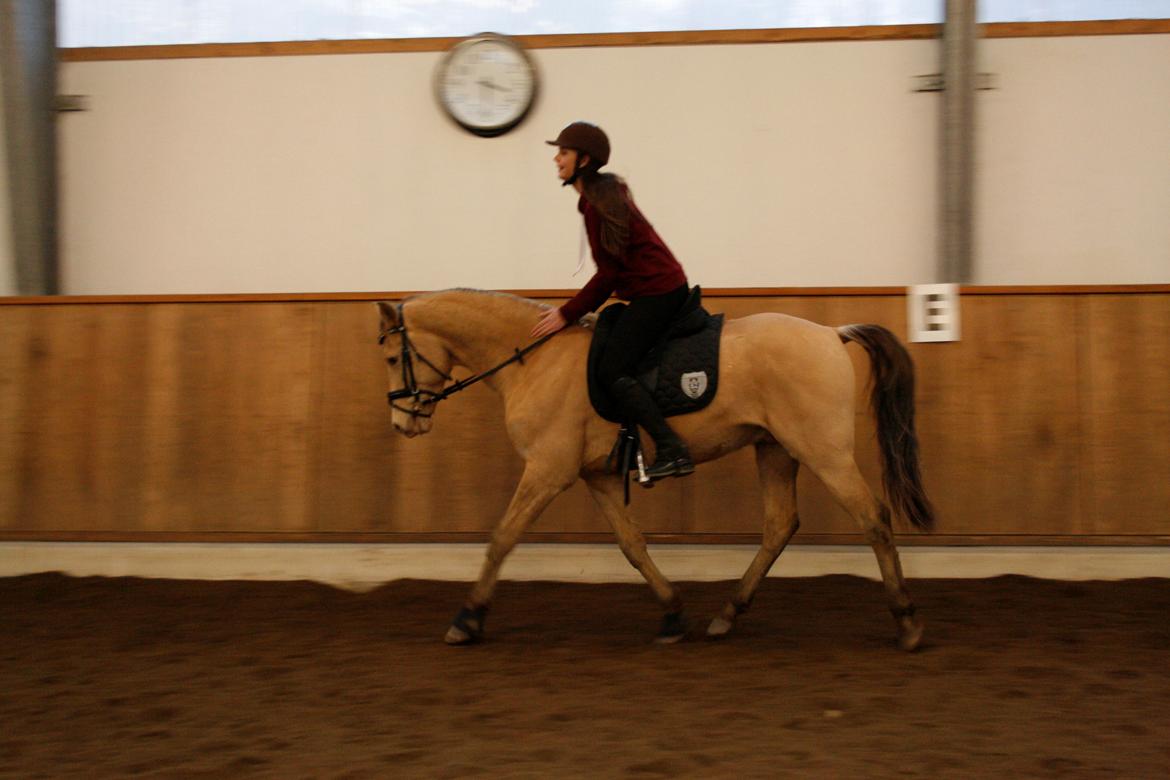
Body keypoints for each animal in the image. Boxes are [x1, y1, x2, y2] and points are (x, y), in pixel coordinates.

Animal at [379, 290, 935, 650]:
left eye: (388, 357)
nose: (403, 422)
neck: (532, 361)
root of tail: (832, 334)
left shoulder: (547, 470)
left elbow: (502, 537)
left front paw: (467, 618)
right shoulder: (598, 476)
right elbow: (633, 545)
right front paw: (672, 613)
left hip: (822, 449)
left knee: (873, 517)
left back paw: (908, 624)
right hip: (776, 449)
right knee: (780, 525)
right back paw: (726, 616)